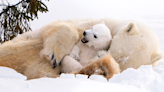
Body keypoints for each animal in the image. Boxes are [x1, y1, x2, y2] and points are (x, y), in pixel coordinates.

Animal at [0, 18, 162, 79]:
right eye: (112, 50)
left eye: (122, 64)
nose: (101, 56)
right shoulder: (98, 23)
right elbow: (67, 28)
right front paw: (53, 55)